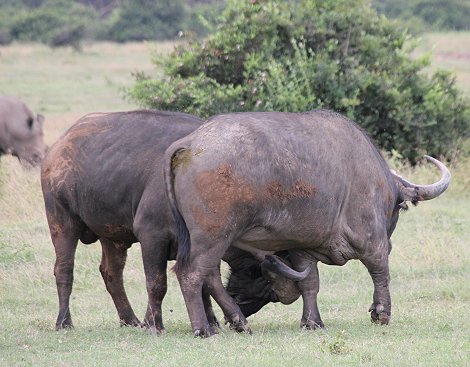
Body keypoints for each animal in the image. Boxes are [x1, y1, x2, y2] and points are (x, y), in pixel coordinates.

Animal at [163, 108, 450, 336]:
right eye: (400, 206)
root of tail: (190, 144)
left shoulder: (303, 250)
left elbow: (310, 283)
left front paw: (312, 321)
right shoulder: (373, 241)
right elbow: (381, 274)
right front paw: (381, 313)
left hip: (207, 240)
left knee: (210, 275)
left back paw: (238, 321)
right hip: (214, 236)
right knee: (191, 274)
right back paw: (203, 328)